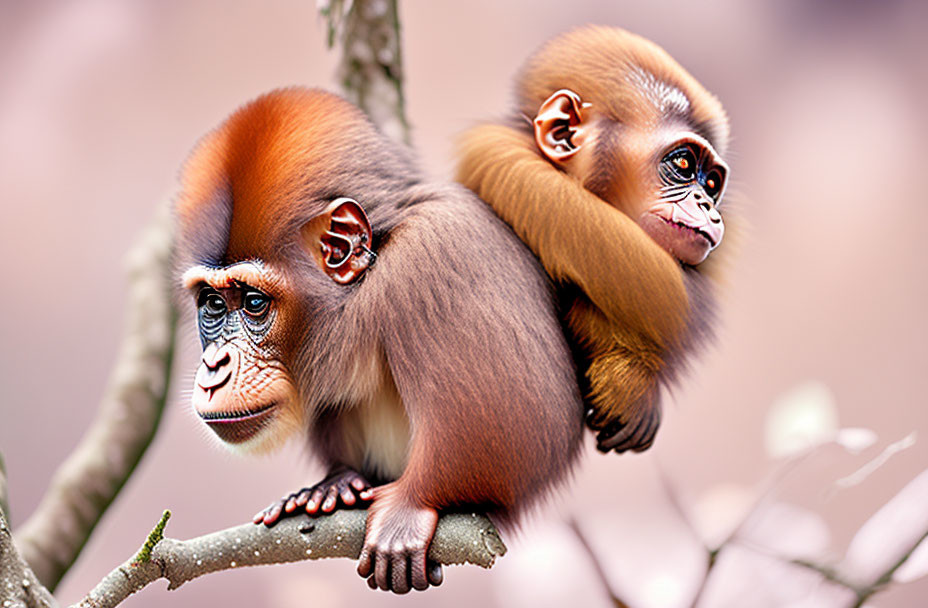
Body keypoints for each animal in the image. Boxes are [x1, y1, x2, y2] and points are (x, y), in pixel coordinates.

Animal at [170, 89, 584, 592]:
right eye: (213, 303)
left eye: (253, 303)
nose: (215, 366)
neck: (372, 280)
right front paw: (335, 481)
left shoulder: (433, 254)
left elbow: (526, 418)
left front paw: (411, 506)